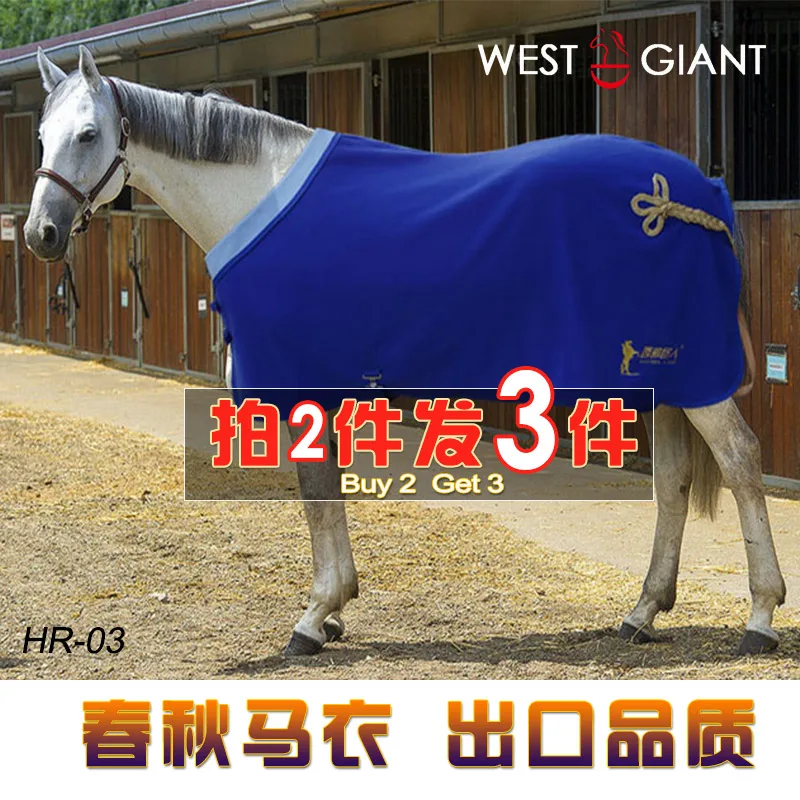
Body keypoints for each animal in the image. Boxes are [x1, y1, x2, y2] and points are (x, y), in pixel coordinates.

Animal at [24, 45, 786, 658]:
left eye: (88, 133)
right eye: (40, 135)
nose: (40, 234)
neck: (255, 193)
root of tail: (700, 192)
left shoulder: (296, 376)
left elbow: (315, 495)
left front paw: (315, 616)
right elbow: (326, 493)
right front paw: (334, 610)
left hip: (693, 377)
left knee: (740, 461)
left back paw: (760, 615)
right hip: (667, 375)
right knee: (675, 482)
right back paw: (642, 612)